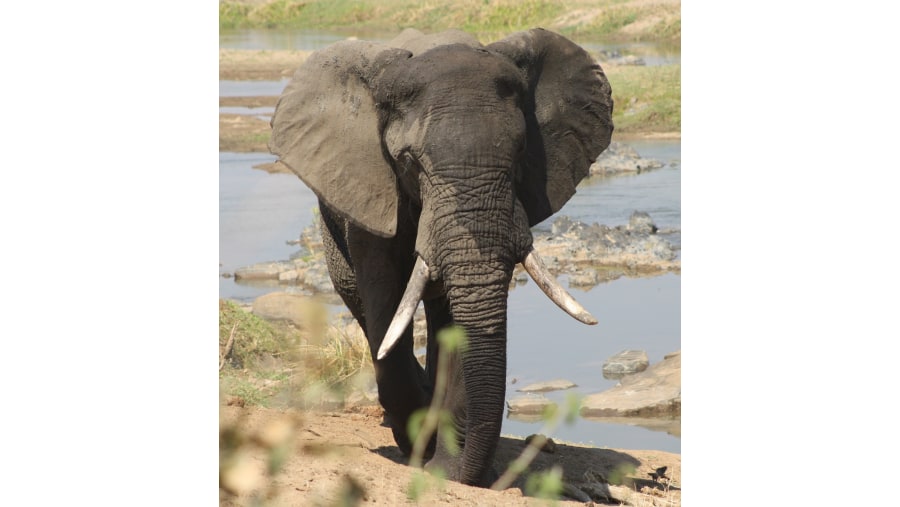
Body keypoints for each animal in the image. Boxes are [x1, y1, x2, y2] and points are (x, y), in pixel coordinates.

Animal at [270, 27, 616, 488]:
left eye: (521, 153)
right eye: (408, 161)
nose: (468, 473)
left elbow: (459, 324)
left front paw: (445, 468)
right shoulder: (373, 189)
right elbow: (385, 304)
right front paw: (418, 442)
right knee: (364, 307)